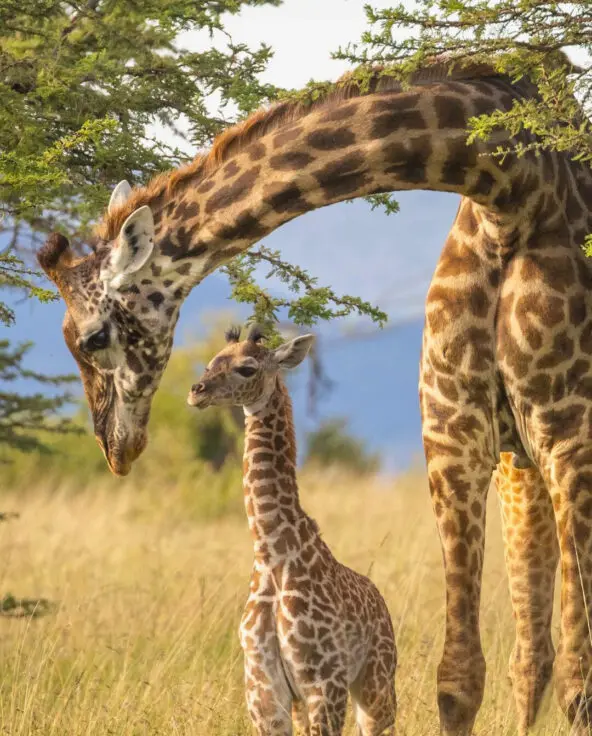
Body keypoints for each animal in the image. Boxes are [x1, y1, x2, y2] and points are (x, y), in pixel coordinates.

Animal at [187, 323, 397, 736]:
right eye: (212, 360)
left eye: (247, 368)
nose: (196, 391)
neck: (272, 552)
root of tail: (381, 601)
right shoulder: (264, 691)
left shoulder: (323, 682)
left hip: (376, 686)